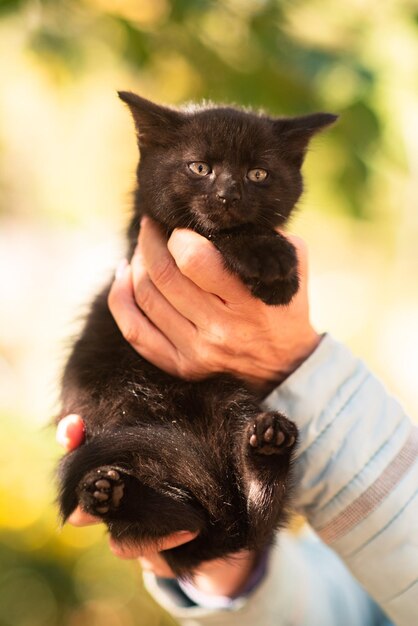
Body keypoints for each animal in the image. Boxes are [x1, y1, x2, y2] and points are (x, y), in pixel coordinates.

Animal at [58, 92, 336, 576]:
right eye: (199, 168)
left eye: (257, 174)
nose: (227, 195)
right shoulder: (148, 231)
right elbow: (199, 229)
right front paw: (270, 258)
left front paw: (277, 272)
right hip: (108, 414)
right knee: (177, 519)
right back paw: (112, 496)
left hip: (227, 399)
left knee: (248, 517)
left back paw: (266, 451)